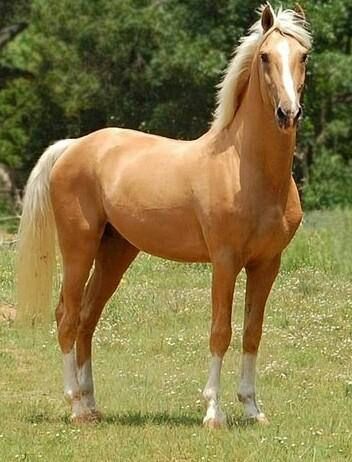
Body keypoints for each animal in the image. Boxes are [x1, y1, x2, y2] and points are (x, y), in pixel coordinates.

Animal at [17, 3, 312, 428]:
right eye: (265, 57)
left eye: (303, 57)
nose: (287, 113)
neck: (244, 168)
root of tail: (73, 146)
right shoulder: (225, 261)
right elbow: (220, 331)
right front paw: (214, 413)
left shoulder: (267, 264)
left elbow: (252, 332)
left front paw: (253, 409)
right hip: (79, 249)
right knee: (67, 316)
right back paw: (76, 406)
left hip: (115, 252)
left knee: (88, 318)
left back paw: (92, 405)